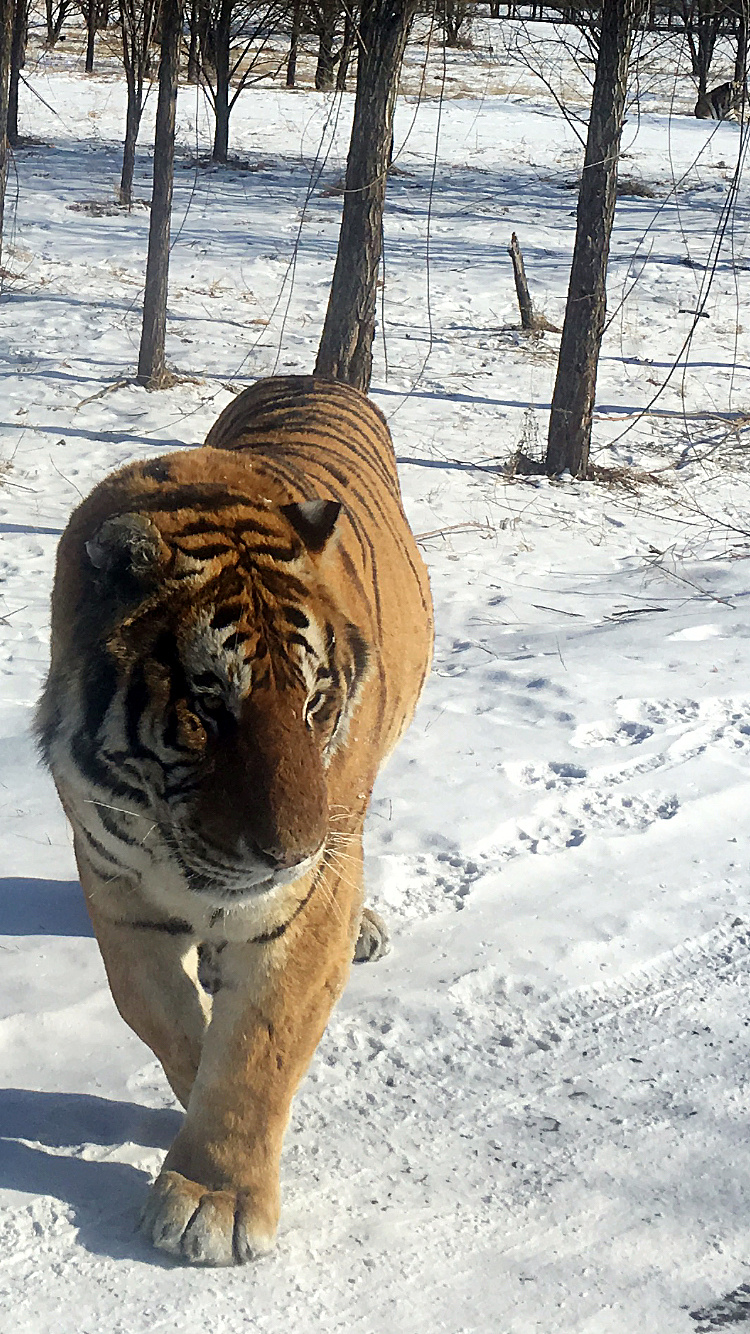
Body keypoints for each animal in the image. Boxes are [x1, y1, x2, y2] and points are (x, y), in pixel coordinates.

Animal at [36, 374, 433, 1266]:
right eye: (210, 707)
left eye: (315, 701)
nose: (290, 853)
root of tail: (317, 376)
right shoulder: (113, 883)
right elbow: (162, 1016)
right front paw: (184, 1111)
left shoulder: (307, 901)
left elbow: (258, 1048)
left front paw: (210, 1201)